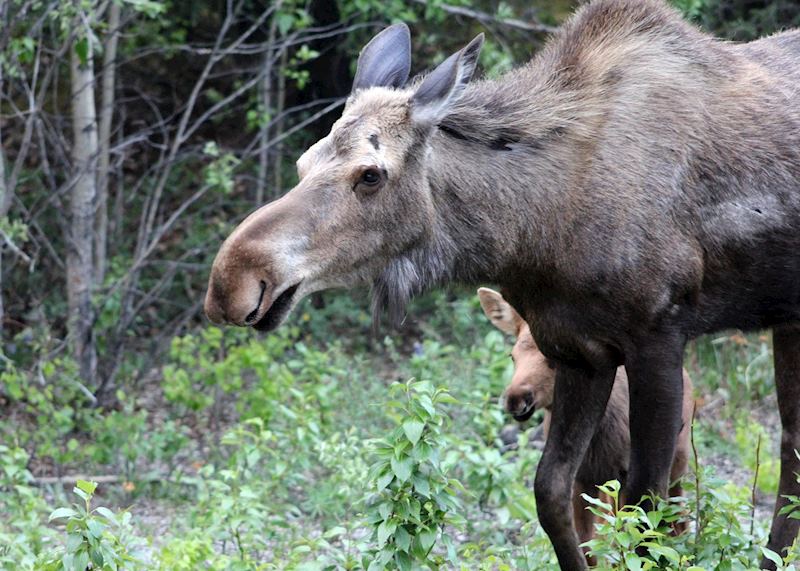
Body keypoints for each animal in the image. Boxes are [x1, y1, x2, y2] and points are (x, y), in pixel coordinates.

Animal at [478, 287, 692, 558]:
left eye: (555, 358)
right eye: (512, 355)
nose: (516, 399)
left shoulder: (623, 475)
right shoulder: (582, 479)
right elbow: (588, 545)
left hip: (679, 460)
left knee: (679, 518)